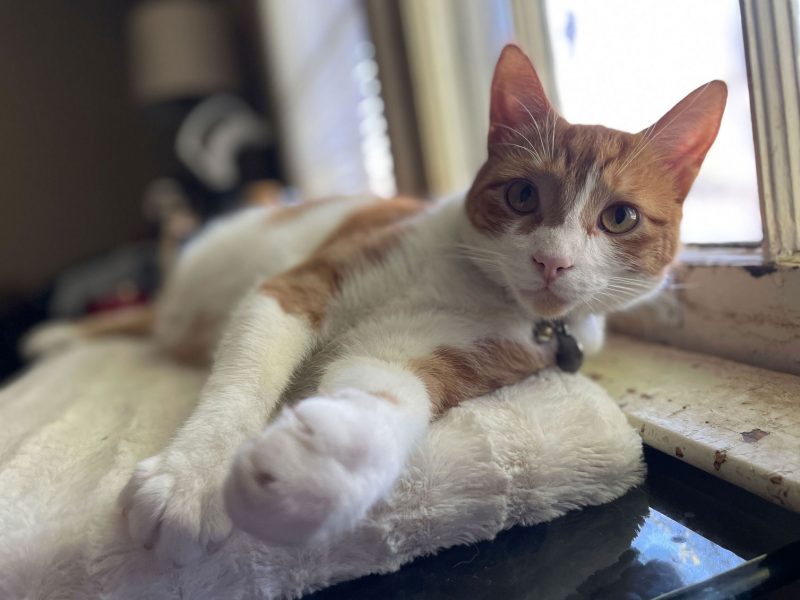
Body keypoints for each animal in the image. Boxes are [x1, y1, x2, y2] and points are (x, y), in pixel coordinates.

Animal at [69, 45, 728, 564]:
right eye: (522, 195)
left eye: (619, 218)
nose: (553, 262)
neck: (472, 288)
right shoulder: (301, 286)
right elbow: (242, 385)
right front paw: (190, 481)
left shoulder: (429, 356)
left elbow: (388, 399)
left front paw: (305, 476)